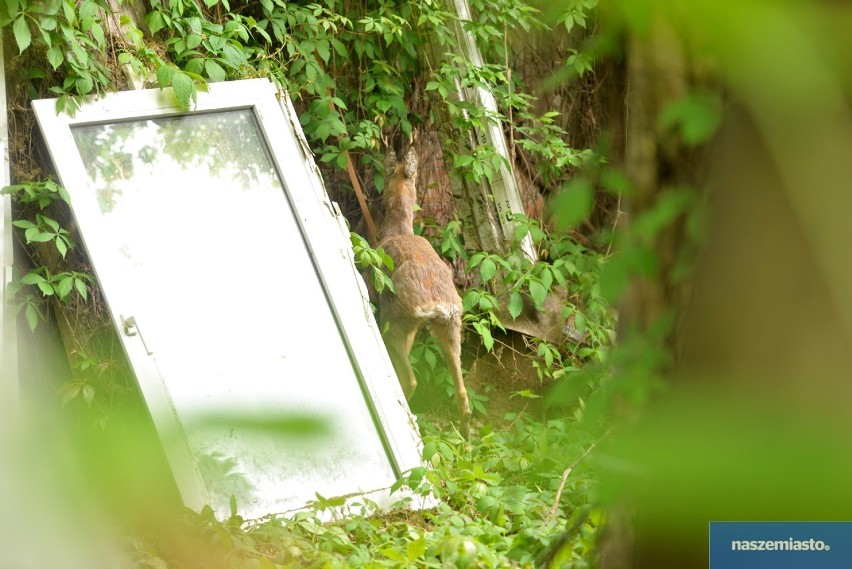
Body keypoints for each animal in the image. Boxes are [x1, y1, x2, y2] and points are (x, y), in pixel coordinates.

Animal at [380, 145, 472, 434]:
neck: (397, 230)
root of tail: (437, 305)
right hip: (450, 327)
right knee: (462, 393)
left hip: (397, 319)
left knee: (410, 379)